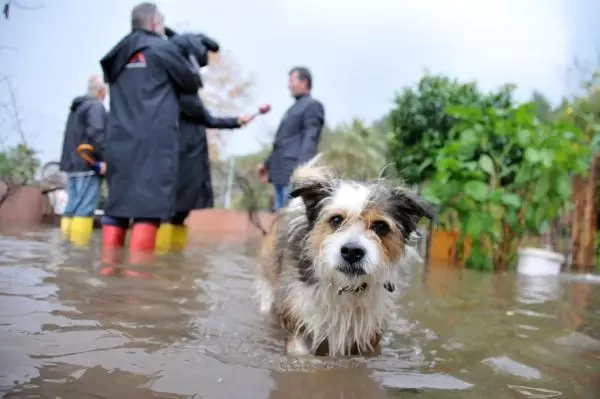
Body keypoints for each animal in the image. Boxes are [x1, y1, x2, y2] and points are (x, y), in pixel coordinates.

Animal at [255, 155, 434, 356]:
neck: (346, 288)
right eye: (336, 220)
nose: (352, 251)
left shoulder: (368, 335)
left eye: (381, 226)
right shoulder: (300, 318)